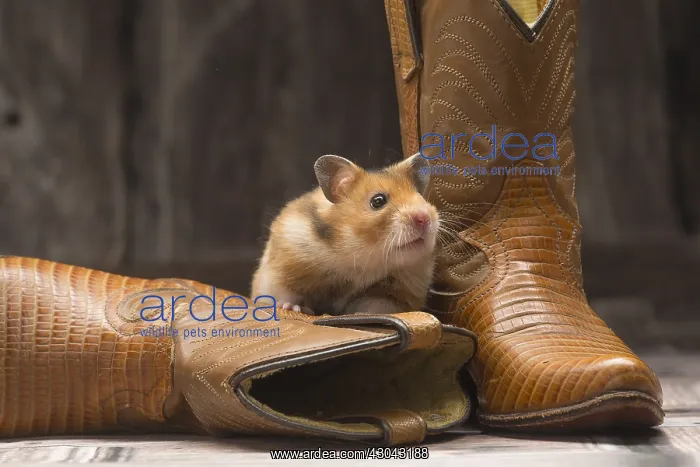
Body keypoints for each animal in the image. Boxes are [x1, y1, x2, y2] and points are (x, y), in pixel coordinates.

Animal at [251, 153, 439, 316]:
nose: (424, 218)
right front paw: (292, 308)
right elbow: (284, 292)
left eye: (420, 196)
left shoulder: (396, 292)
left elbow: (377, 306)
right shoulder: (283, 264)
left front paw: (360, 315)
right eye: (378, 201)